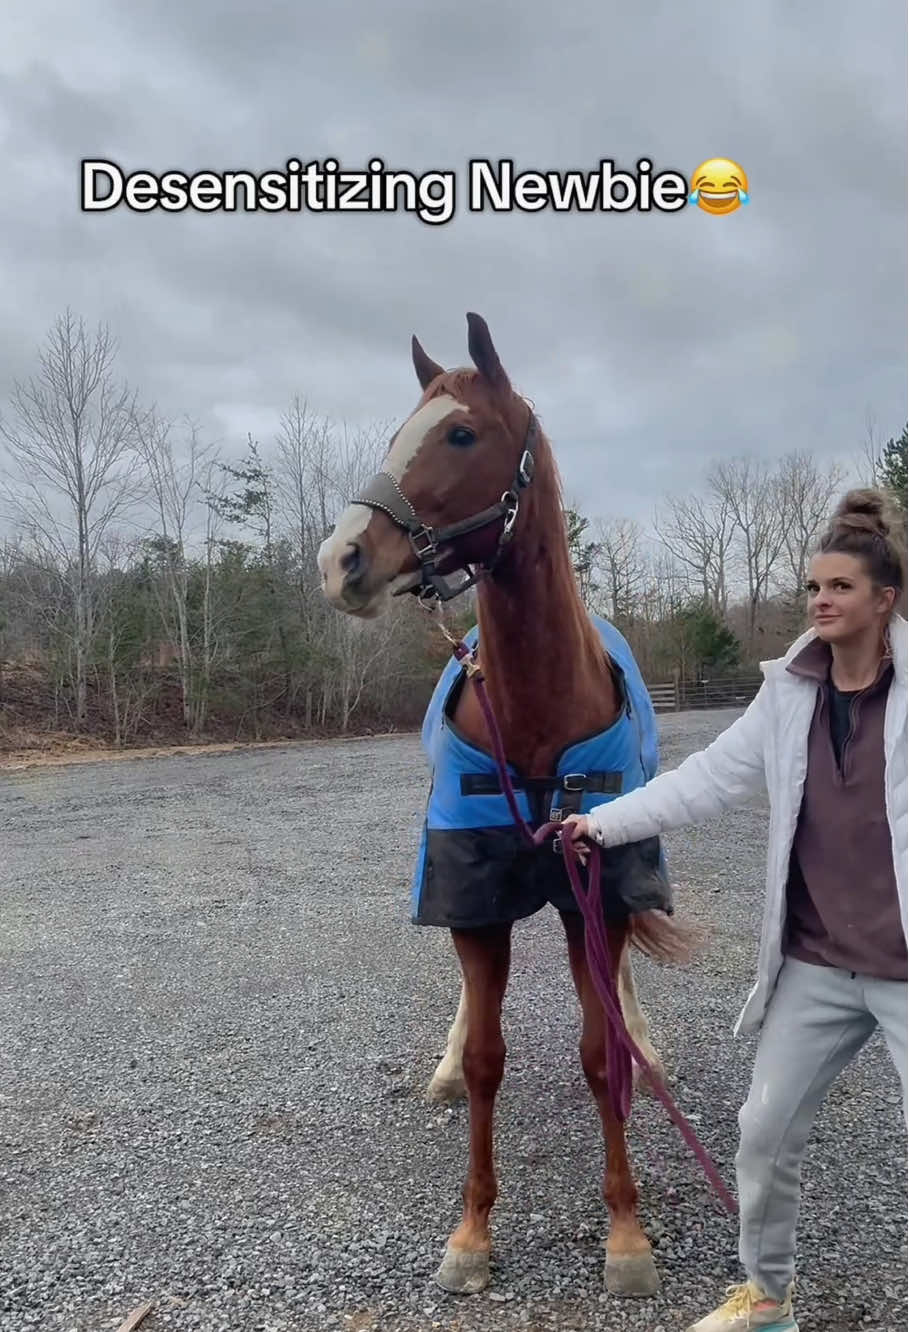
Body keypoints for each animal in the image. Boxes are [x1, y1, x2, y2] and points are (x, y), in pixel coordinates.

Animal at [317, 313, 690, 1299]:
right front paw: (472, 1233)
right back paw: (445, 1065)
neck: (532, 716)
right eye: (400, 429)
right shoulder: (471, 895)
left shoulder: (590, 881)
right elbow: (489, 1057)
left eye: (459, 433)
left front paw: (626, 1236)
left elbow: (602, 1055)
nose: (341, 559)